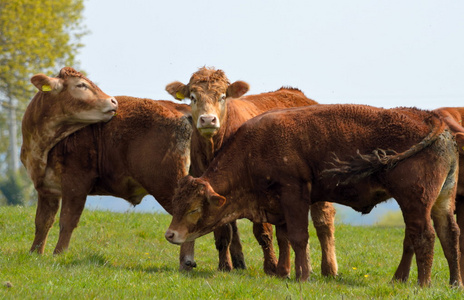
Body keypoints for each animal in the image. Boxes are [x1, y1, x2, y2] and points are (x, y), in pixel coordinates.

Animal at [166, 67, 338, 278]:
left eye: (223, 96)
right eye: (192, 97)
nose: (207, 119)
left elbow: (263, 233)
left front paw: (271, 267)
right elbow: (223, 232)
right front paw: (225, 266)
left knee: (324, 221)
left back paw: (329, 268)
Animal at [166, 104, 460, 288]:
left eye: (193, 209)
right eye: (176, 203)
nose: (171, 234)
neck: (253, 149)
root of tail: (430, 119)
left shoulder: (294, 192)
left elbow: (299, 237)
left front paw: (302, 276)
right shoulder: (278, 204)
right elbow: (284, 237)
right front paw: (283, 273)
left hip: (415, 202)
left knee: (424, 236)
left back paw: (422, 284)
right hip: (441, 202)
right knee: (447, 234)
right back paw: (452, 283)